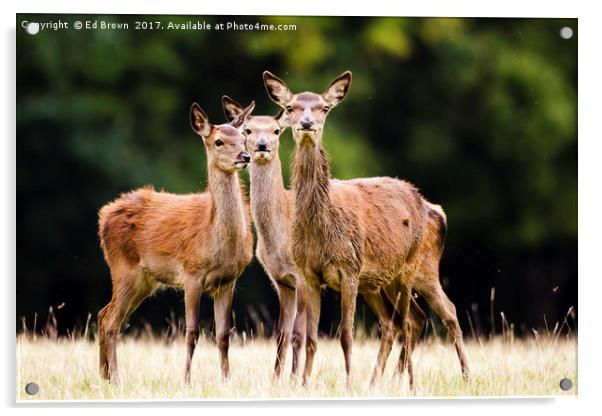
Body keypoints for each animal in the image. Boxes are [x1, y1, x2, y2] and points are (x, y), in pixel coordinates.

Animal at [95, 101, 253, 384]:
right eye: (219, 141)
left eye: (243, 137)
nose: (244, 156)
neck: (217, 240)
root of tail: (104, 215)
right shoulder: (192, 273)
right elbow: (191, 333)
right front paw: (186, 380)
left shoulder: (228, 281)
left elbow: (224, 336)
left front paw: (226, 380)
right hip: (124, 268)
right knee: (111, 321)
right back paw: (116, 378)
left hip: (144, 281)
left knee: (104, 314)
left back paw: (104, 377)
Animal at [262, 69, 468, 386]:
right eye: (290, 107)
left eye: (324, 107)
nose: (307, 124)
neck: (320, 227)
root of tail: (431, 206)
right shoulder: (308, 274)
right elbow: (310, 338)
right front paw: (304, 384)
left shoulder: (348, 269)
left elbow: (346, 336)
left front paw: (347, 383)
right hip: (379, 280)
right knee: (405, 319)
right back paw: (382, 380)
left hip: (416, 266)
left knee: (434, 314)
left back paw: (444, 378)